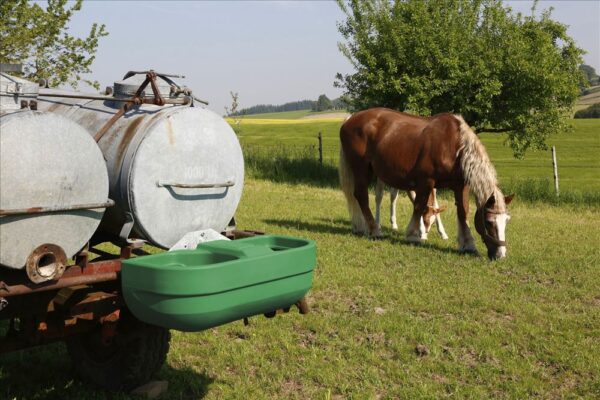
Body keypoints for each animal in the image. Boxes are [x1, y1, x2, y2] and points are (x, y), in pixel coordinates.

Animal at [340, 108, 512, 260]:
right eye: (489, 222)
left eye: (506, 221)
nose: (501, 255)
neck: (453, 147)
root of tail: (350, 119)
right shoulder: (426, 181)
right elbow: (419, 206)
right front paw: (414, 235)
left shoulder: (461, 186)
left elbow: (463, 213)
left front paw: (469, 245)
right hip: (361, 169)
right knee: (362, 196)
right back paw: (374, 230)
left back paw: (361, 226)